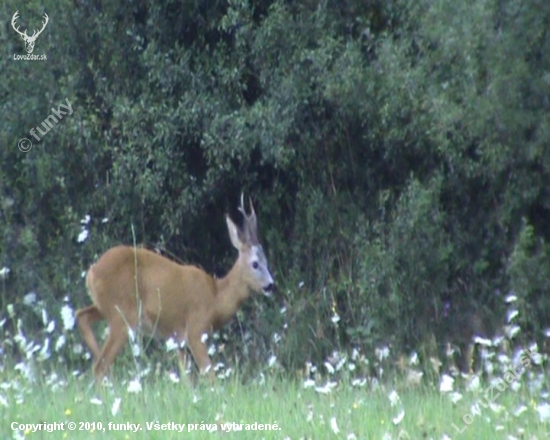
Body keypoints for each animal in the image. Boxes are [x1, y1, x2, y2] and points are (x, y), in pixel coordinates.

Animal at [76, 194, 274, 380]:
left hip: (107, 307)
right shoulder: (195, 329)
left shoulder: (178, 340)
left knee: (82, 315)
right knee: (100, 366)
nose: (271, 285)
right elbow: (209, 374)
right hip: (121, 314)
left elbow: (187, 378)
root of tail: (92, 271)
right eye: (255, 264)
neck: (215, 297)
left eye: (266, 261)